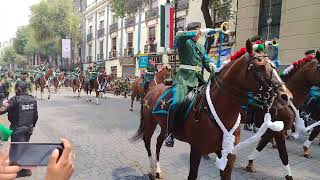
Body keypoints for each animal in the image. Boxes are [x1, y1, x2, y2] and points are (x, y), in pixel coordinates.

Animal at [131, 39, 292, 180]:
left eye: (274, 66)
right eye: (260, 67)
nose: (286, 96)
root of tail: (151, 89)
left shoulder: (228, 153)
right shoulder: (196, 150)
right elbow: (192, 175)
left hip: (164, 126)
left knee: (158, 142)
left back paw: (158, 169)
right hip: (150, 124)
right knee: (148, 142)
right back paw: (152, 169)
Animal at [245, 50, 320, 179]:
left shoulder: (272, 130)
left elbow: (260, 146)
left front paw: (250, 163)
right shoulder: (278, 131)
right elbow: (284, 155)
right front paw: (289, 176)